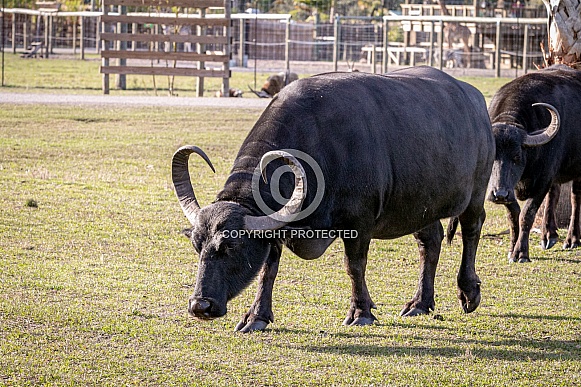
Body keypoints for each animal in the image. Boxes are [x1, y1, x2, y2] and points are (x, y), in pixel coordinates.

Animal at [173, 66, 494, 334]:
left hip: (476, 194)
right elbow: (267, 270)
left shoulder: (360, 224)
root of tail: (476, 100)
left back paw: (469, 292)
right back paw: (419, 303)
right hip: (420, 206)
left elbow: (354, 266)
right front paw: (256, 317)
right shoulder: (274, 229)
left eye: (231, 245)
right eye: (197, 246)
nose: (200, 306)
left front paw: (361, 312)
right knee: (430, 242)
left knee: (472, 229)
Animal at [488, 65, 576, 264]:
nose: (499, 194)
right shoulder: (510, 189)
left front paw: (521, 253)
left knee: (576, 198)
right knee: (555, 193)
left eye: (516, 157)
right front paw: (512, 248)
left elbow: (526, 214)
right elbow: (513, 215)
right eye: (491, 156)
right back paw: (549, 235)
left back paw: (572, 239)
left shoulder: (542, 181)